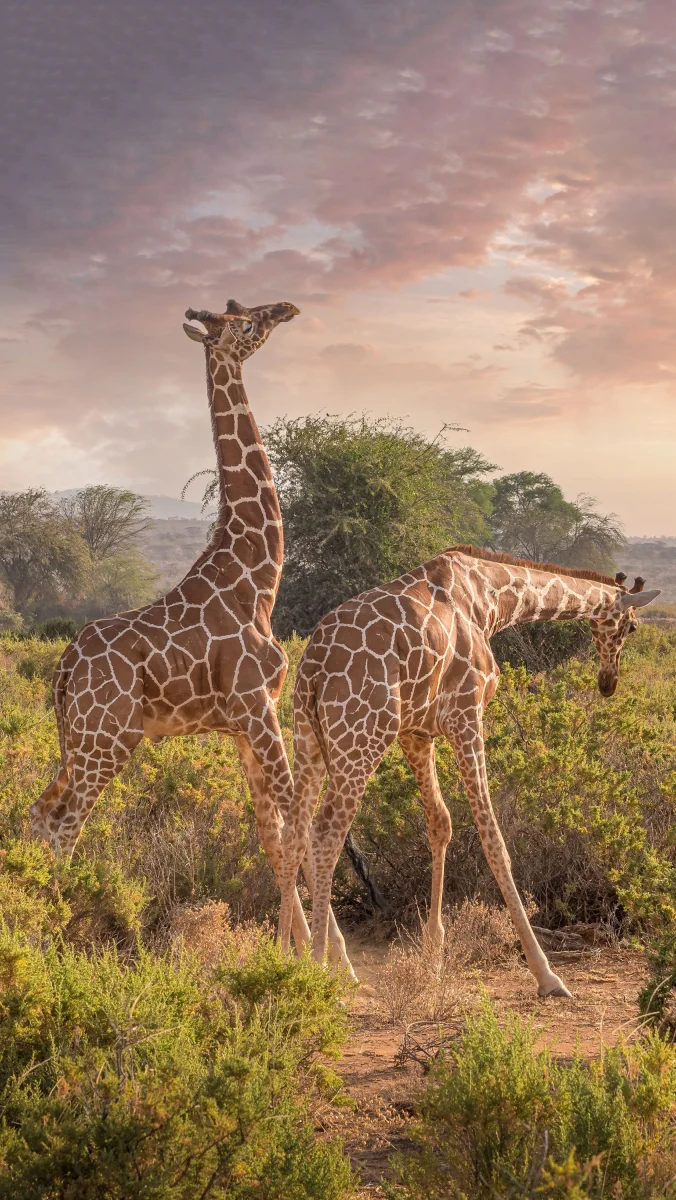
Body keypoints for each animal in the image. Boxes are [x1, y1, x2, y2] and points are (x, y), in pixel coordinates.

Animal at [30, 298, 350, 964]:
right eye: (246, 321)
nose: (286, 307)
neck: (257, 580)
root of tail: (63, 668)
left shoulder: (241, 724)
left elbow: (272, 832)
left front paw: (294, 951)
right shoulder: (257, 707)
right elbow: (298, 817)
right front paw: (333, 963)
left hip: (78, 741)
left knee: (40, 812)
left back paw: (31, 928)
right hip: (108, 741)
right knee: (66, 823)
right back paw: (53, 942)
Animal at [278, 545, 661, 997]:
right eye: (632, 626)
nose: (608, 682)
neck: (491, 598)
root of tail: (313, 667)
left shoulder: (416, 731)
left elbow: (440, 823)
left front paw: (433, 955)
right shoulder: (466, 713)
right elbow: (493, 838)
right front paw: (546, 974)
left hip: (308, 736)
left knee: (293, 833)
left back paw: (279, 959)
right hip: (362, 735)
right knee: (325, 835)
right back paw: (322, 970)